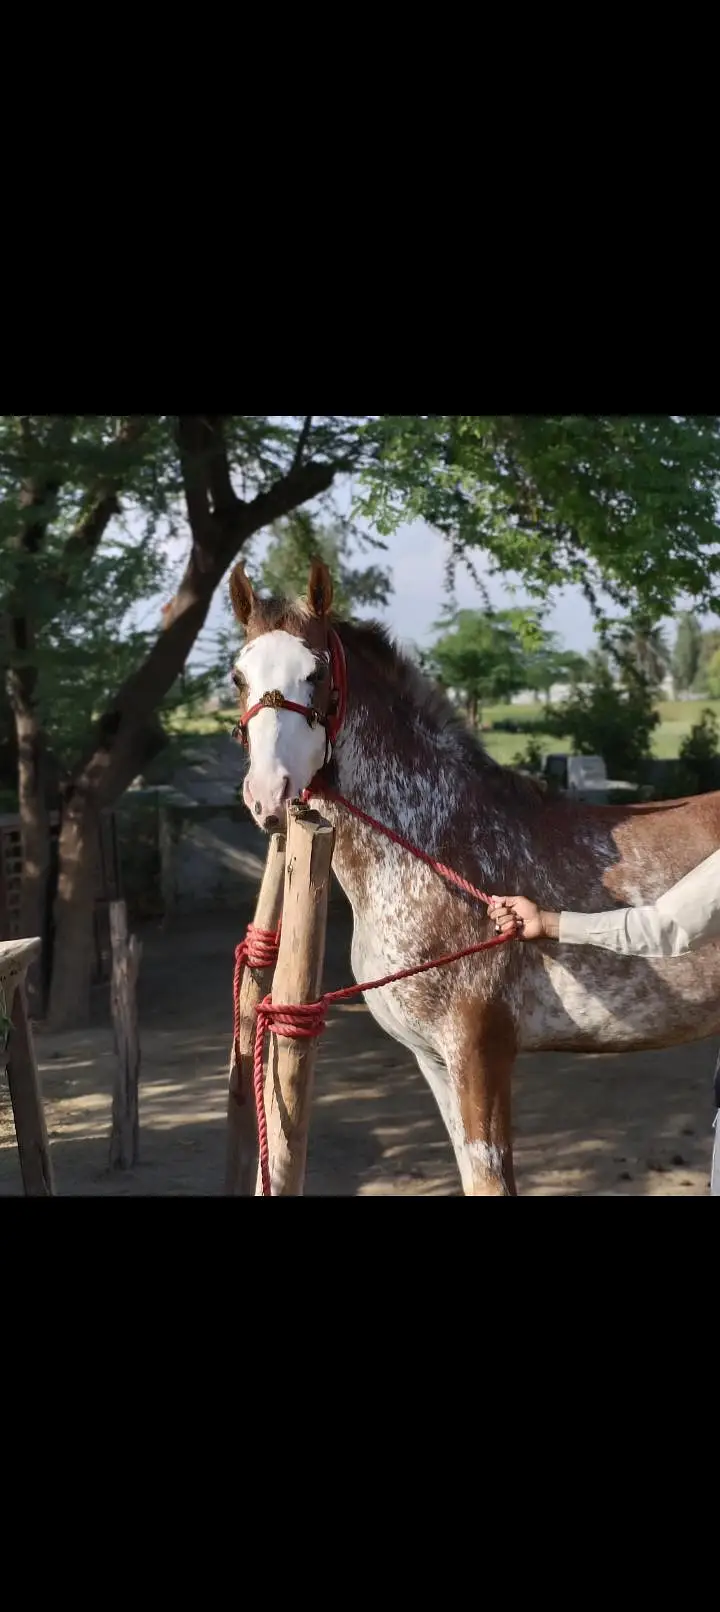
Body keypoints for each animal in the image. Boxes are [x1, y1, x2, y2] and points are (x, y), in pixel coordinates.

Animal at [229, 558, 720, 1196]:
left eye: (315, 673)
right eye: (238, 677)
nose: (268, 793)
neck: (439, 845)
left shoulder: (478, 1054)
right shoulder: (434, 1060)